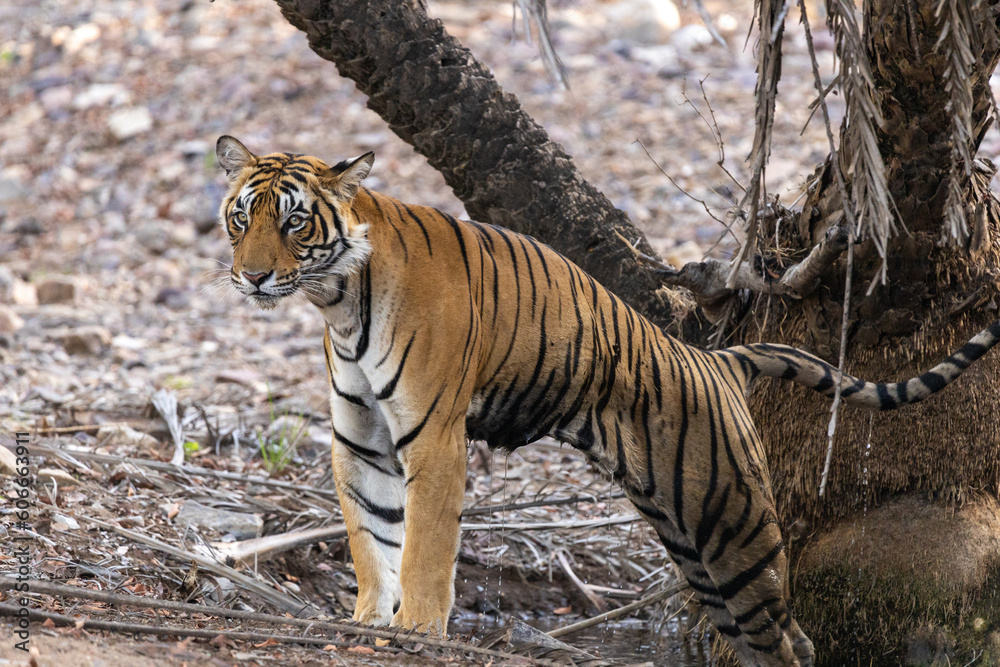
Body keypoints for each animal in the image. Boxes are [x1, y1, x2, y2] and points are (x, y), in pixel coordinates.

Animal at [214, 135, 1000, 667]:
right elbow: (372, 536)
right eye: (241, 217)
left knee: (788, 639)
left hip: (738, 527)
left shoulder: (431, 435)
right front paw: (368, 622)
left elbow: (424, 546)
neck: (339, 301)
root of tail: (714, 356)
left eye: (294, 222)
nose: (252, 278)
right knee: (768, 635)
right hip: (694, 544)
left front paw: (417, 630)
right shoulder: (362, 438)